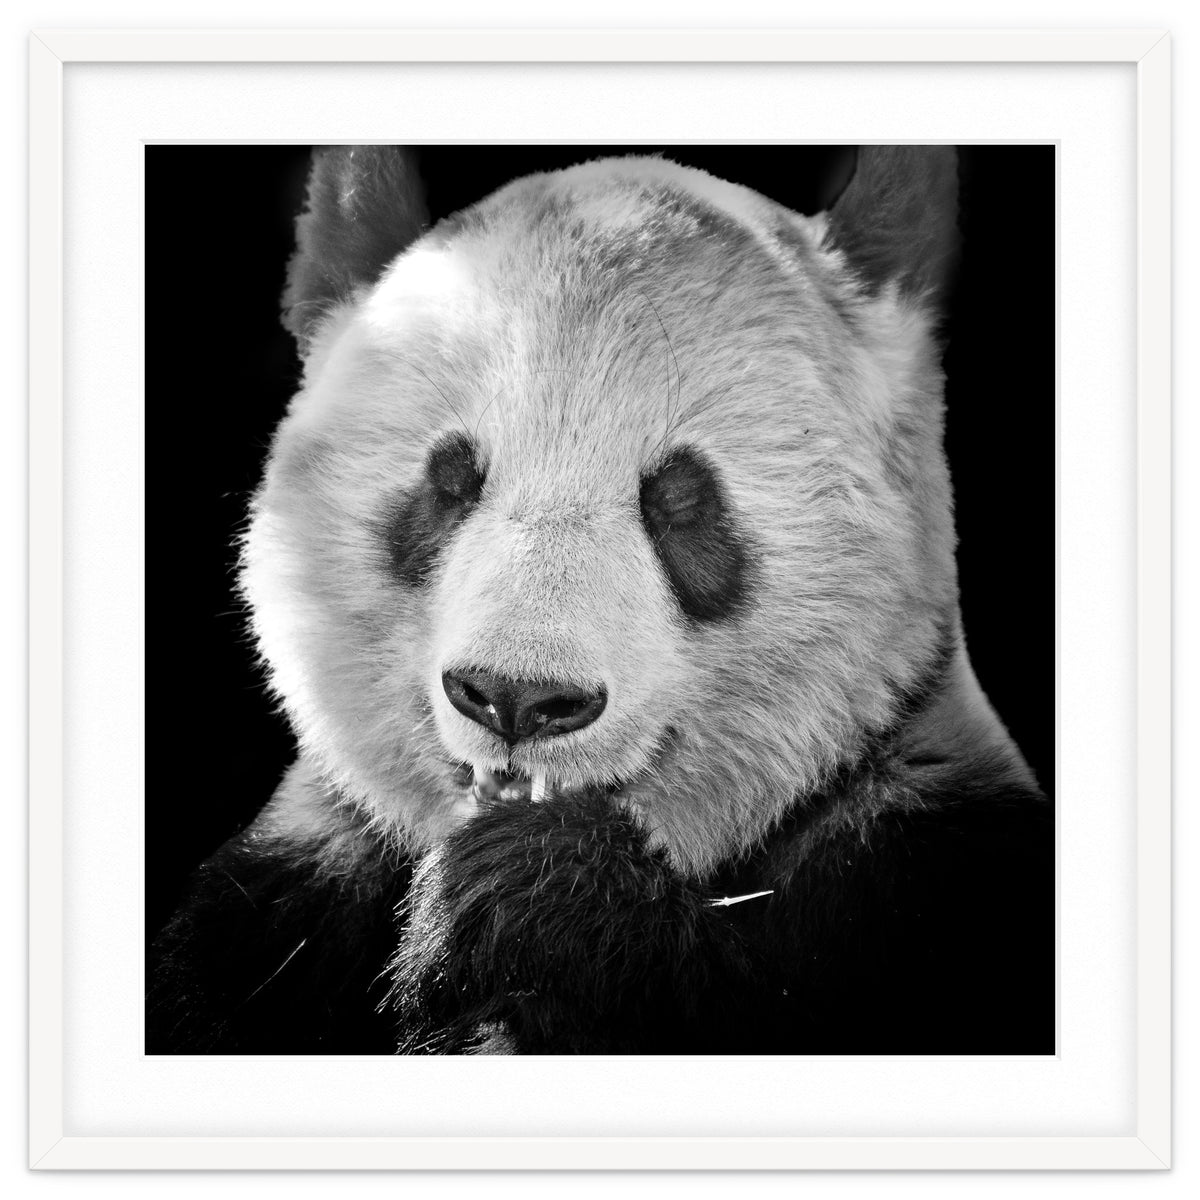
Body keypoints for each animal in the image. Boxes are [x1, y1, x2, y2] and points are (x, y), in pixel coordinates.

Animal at [147, 145, 1053, 1055]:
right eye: (449, 481)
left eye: (681, 500)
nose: (517, 697)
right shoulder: (280, 903)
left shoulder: (923, 868)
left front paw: (534, 895)